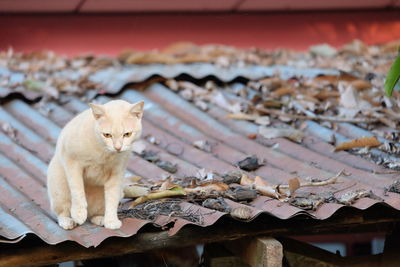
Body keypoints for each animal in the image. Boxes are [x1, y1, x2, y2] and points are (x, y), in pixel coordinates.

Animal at [47, 100, 144, 230]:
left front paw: (111, 221)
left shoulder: (116, 174)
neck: (104, 152)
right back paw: (68, 221)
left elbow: (112, 199)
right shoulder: (72, 162)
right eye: (107, 135)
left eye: (127, 134)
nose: (118, 147)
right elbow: (77, 189)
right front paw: (78, 213)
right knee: (62, 213)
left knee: (94, 214)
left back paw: (100, 219)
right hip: (59, 190)